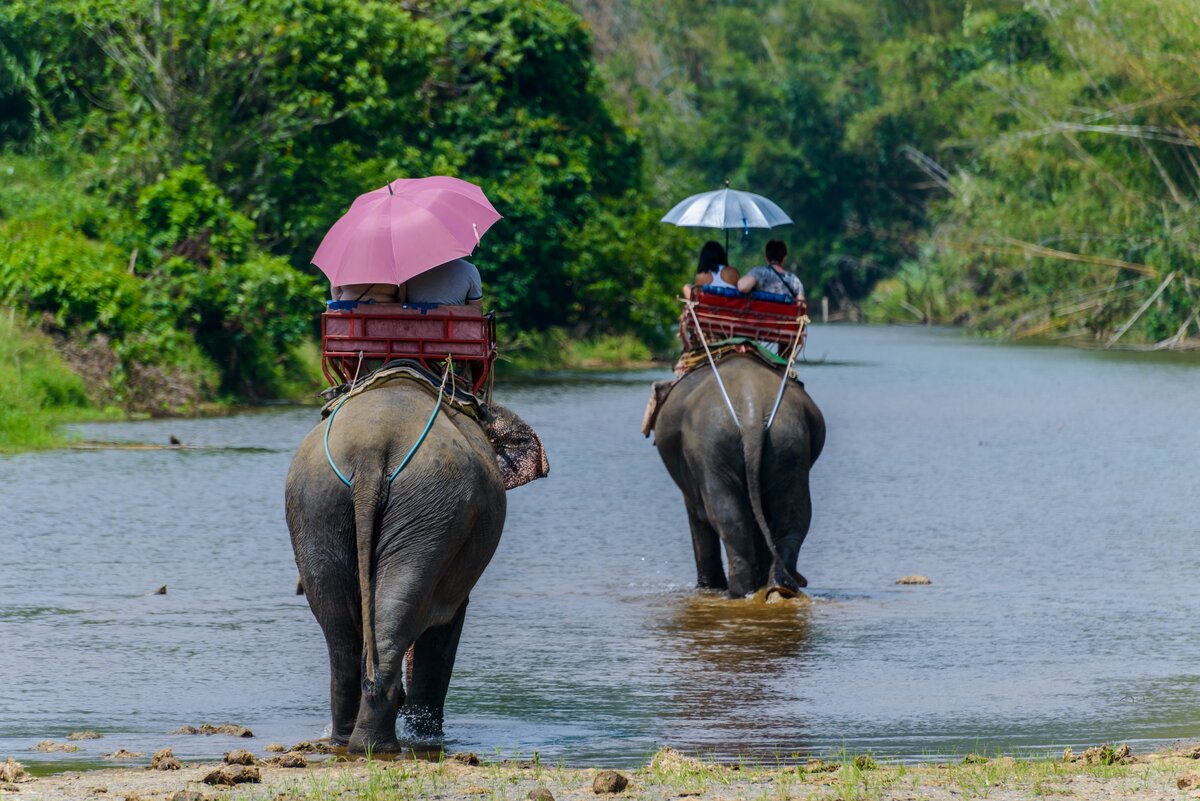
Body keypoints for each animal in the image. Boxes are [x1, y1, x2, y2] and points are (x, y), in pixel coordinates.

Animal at [283, 381, 547, 753]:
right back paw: (380, 743)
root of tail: (370, 452)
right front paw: (427, 736)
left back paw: (353, 742)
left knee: (342, 628)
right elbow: (449, 620)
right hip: (421, 506)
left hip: (323, 504)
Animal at [648, 352, 825, 597]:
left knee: (728, 517)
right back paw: (778, 587)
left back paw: (738, 592)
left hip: (712, 445)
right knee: (793, 516)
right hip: (789, 442)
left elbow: (698, 516)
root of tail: (752, 412)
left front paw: (707, 588)